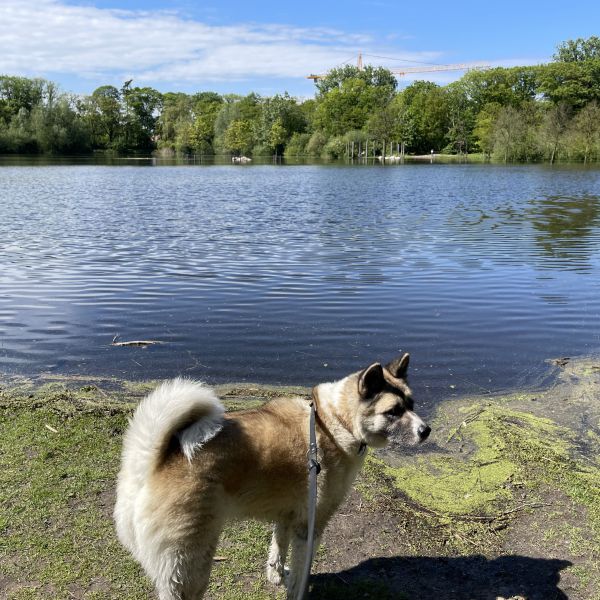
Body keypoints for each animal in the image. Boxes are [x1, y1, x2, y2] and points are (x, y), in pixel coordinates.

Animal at [113, 354, 432, 596]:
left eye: (412, 404)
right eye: (393, 411)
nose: (426, 430)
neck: (333, 422)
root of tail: (154, 462)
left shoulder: (286, 516)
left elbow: (277, 549)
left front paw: (276, 577)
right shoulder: (310, 526)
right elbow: (303, 568)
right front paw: (296, 590)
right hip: (191, 563)